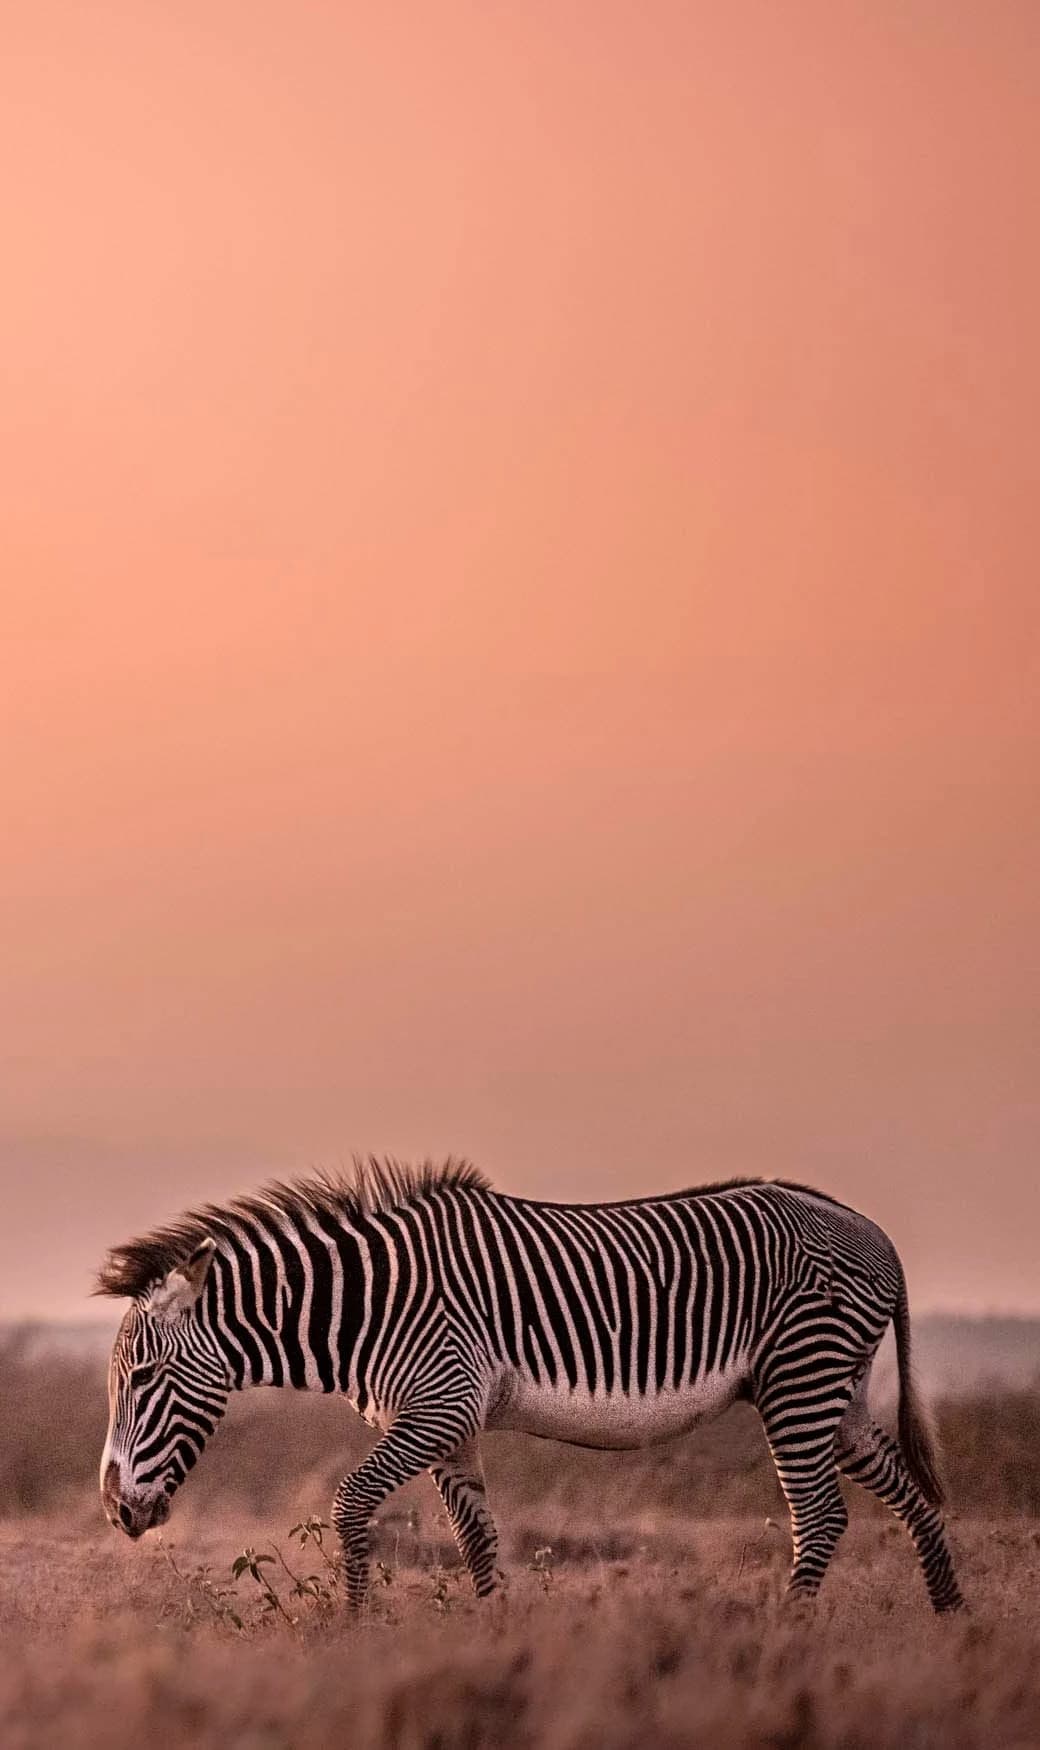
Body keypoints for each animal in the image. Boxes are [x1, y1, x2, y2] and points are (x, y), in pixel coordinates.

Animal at [97, 1159, 964, 1611]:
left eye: (144, 1377)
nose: (115, 1512)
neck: (367, 1303)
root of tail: (870, 1227)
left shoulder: (437, 1405)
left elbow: (348, 1503)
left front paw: (354, 1629)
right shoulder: (452, 1424)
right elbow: (478, 1538)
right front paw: (496, 1636)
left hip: (798, 1379)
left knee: (819, 1516)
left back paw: (785, 1638)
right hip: (834, 1393)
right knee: (912, 1499)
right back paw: (951, 1627)